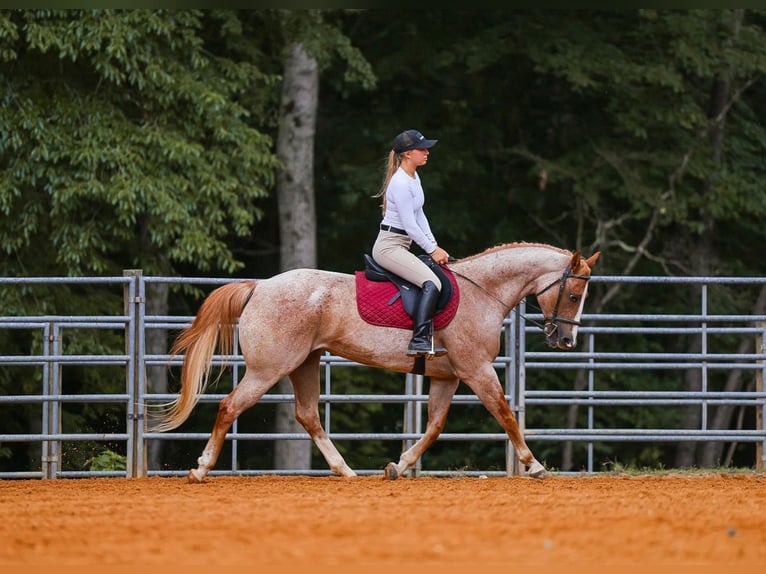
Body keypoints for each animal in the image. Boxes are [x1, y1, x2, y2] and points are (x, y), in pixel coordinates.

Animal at [152, 242, 600, 483]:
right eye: (573, 295)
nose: (566, 340)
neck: (482, 293)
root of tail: (260, 287)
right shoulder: (477, 370)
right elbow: (506, 415)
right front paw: (534, 466)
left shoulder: (448, 377)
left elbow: (434, 427)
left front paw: (398, 467)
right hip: (269, 369)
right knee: (230, 407)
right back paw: (200, 470)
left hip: (304, 364)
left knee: (308, 415)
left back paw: (346, 471)